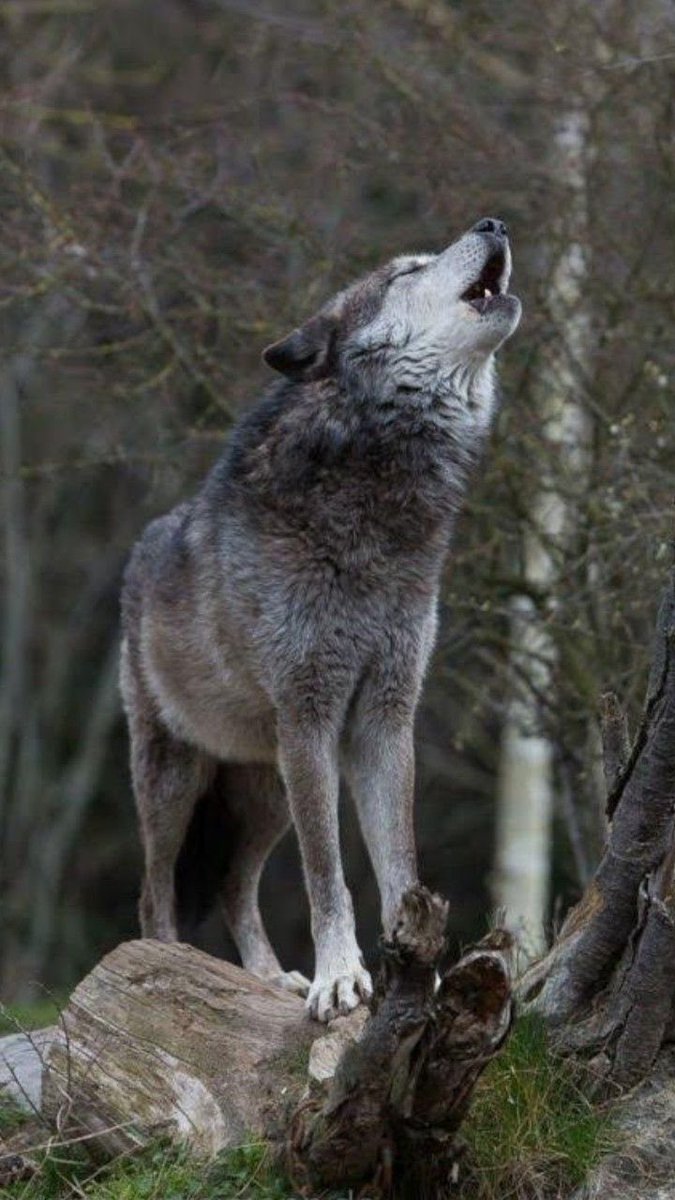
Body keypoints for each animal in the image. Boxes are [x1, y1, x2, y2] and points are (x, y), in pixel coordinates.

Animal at [120, 217, 521, 1022]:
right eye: (406, 272)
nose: (493, 223)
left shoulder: (383, 719)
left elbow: (398, 867)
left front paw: (419, 981)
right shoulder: (310, 716)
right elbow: (326, 873)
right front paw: (342, 979)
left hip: (266, 788)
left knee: (234, 885)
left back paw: (268, 978)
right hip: (177, 782)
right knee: (156, 894)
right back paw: (172, 970)